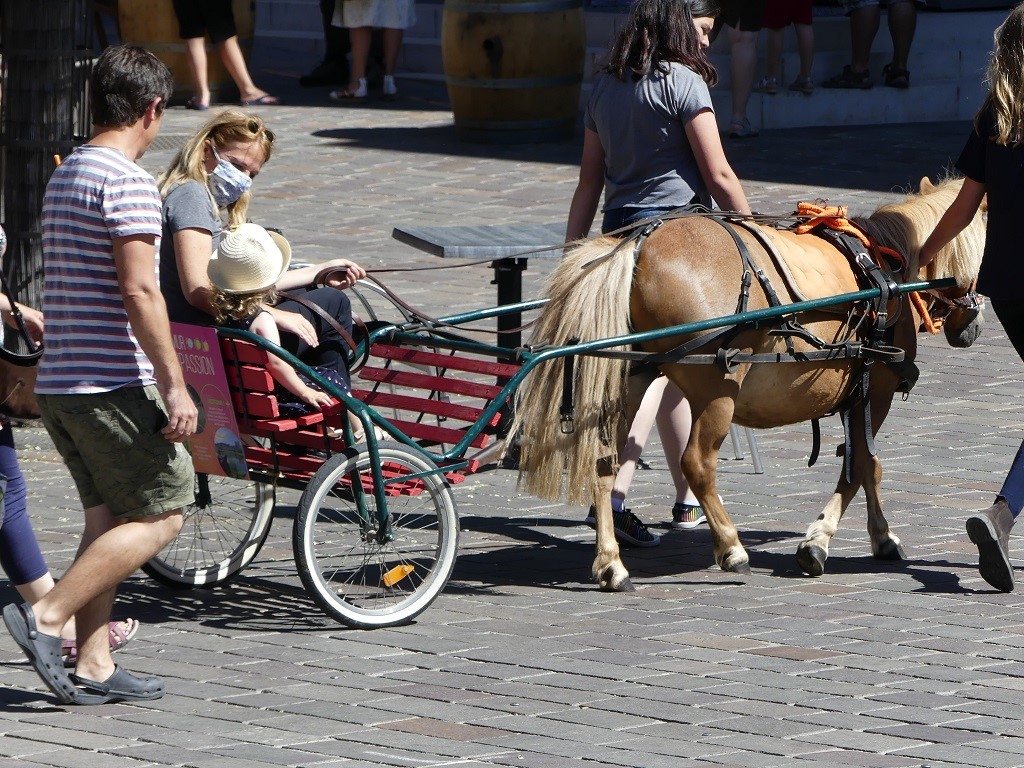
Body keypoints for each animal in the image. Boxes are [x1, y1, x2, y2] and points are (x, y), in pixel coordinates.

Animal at [516, 177, 987, 593]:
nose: (972, 326)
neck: (890, 267)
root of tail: (636, 246)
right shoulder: (876, 392)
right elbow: (862, 468)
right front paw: (821, 541)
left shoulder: (861, 395)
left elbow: (866, 467)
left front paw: (878, 536)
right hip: (716, 390)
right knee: (696, 463)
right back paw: (730, 546)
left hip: (632, 381)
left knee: (604, 462)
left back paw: (611, 564)